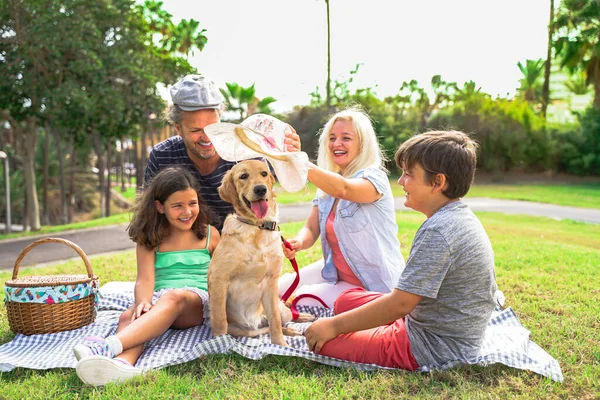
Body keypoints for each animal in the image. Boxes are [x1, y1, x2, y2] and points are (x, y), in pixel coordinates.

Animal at [209, 159, 314, 346]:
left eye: (264, 173)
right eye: (243, 176)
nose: (260, 189)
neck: (257, 227)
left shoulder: (271, 281)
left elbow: (275, 320)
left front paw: (280, 345)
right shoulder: (219, 280)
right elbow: (220, 321)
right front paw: (219, 345)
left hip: (282, 309)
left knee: (282, 318)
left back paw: (299, 320)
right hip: (242, 330)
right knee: (259, 330)